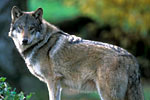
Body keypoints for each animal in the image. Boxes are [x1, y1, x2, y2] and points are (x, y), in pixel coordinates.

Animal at [8, 6, 144, 100]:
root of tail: (131, 57)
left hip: (107, 94)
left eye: (31, 28)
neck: (41, 43)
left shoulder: (52, 81)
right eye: (20, 27)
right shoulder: (58, 85)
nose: (24, 40)